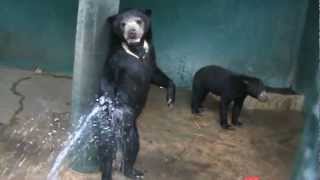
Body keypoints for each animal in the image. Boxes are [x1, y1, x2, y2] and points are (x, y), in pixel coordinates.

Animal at [97, 8, 176, 180]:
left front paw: (170, 99)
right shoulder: (116, 60)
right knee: (107, 148)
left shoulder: (151, 54)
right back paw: (108, 173)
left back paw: (133, 172)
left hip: (131, 128)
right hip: (112, 124)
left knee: (133, 145)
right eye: (122, 24)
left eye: (139, 21)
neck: (136, 49)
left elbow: (155, 74)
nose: (132, 32)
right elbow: (107, 80)